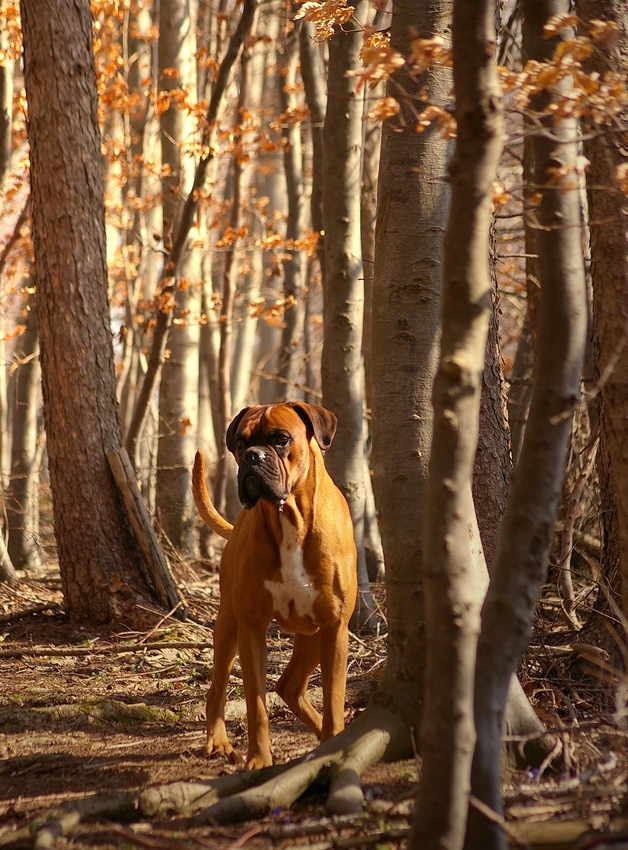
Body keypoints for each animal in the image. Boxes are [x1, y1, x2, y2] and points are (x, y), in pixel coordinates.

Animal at [191, 400, 358, 764]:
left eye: (281, 439)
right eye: (240, 443)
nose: (253, 456)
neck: (290, 518)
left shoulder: (335, 627)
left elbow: (334, 699)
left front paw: (333, 743)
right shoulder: (251, 628)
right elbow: (256, 705)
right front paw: (258, 759)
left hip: (314, 636)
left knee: (289, 686)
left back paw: (324, 735)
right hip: (229, 628)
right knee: (218, 688)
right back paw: (218, 741)